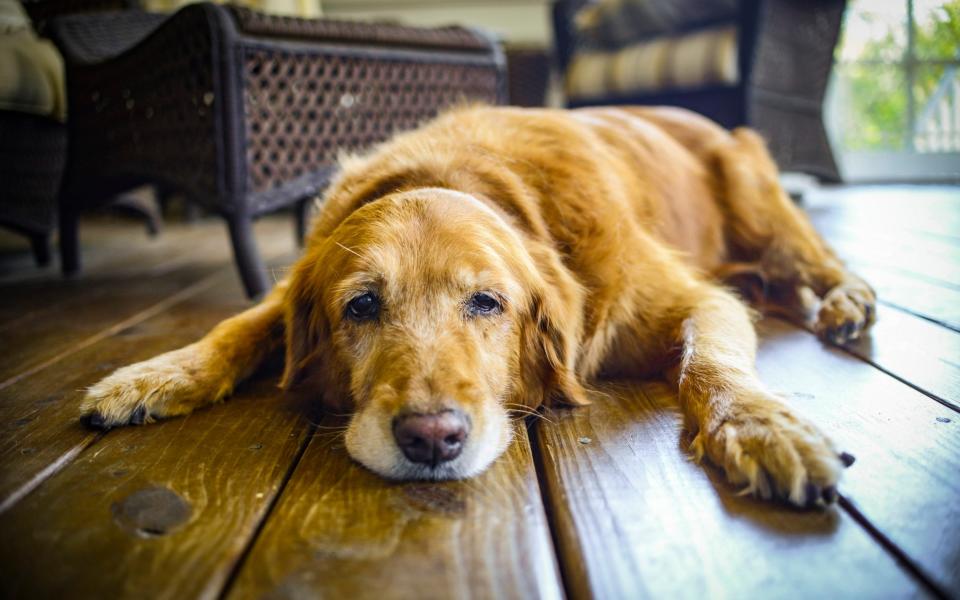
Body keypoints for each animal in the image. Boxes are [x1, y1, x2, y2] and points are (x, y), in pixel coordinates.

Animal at [80, 104, 876, 506]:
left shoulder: (695, 299)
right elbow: (238, 325)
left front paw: (761, 427)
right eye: (361, 307)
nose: (431, 439)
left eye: (487, 302)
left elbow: (709, 364)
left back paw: (846, 301)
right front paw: (153, 376)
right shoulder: (291, 286)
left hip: (756, 193)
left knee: (814, 258)